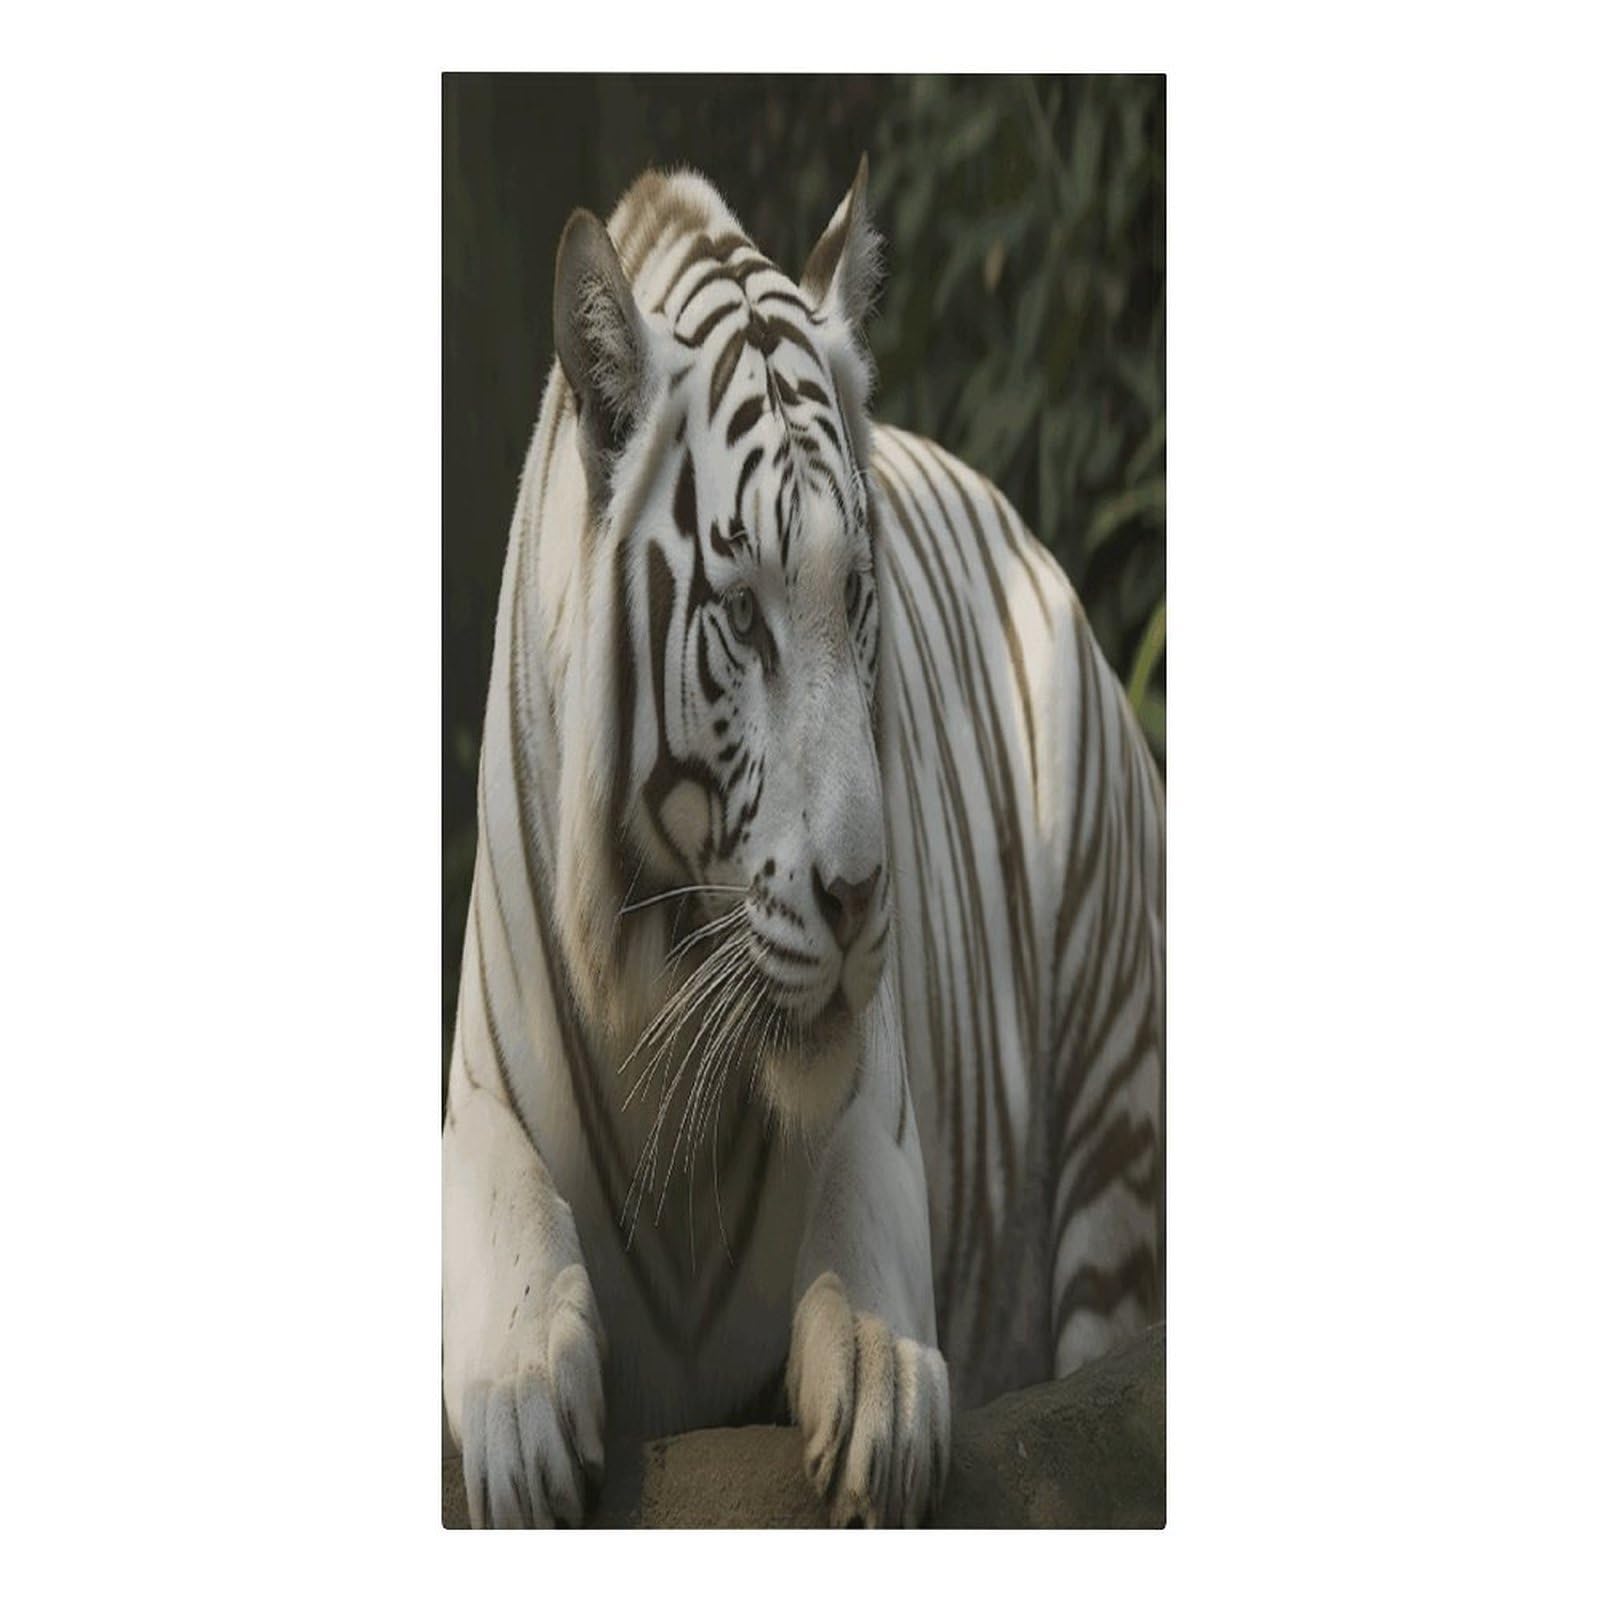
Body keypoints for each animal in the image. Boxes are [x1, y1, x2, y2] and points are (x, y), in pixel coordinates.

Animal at [442, 158, 1165, 1529]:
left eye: (856, 595)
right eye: (742, 616)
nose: (860, 893)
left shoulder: (877, 1093)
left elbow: (860, 1227)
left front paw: (878, 1382)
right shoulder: (481, 1088)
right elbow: (498, 1204)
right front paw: (516, 1411)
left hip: (1119, 1112)